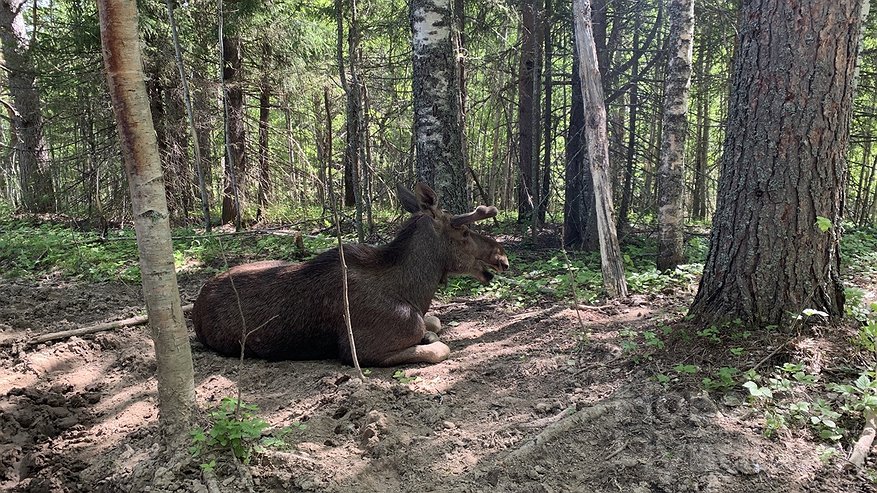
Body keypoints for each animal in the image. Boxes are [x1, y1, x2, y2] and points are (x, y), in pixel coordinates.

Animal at [192, 184, 506, 366]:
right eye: (464, 232)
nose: (501, 256)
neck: (415, 292)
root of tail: (195, 305)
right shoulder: (362, 350)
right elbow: (439, 347)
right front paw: (429, 338)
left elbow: (436, 321)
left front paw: (430, 331)